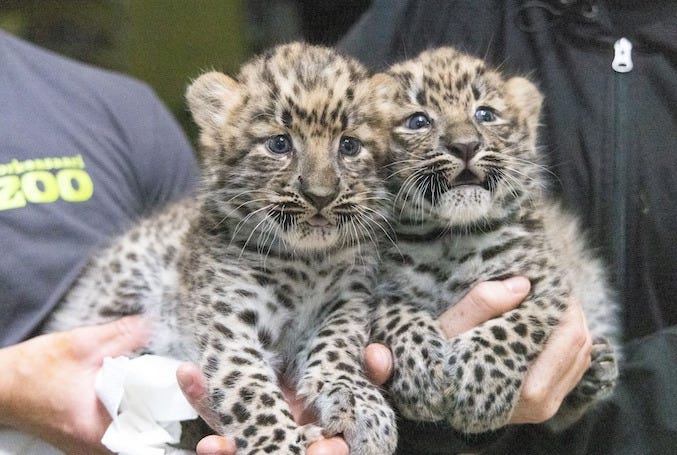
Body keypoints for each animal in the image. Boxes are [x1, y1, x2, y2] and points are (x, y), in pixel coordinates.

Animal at [42, 42, 398, 455]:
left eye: (349, 145)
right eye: (279, 144)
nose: (320, 195)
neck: (305, 260)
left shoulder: (345, 301)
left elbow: (339, 348)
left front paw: (364, 406)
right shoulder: (229, 322)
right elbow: (251, 390)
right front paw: (280, 445)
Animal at [370, 47, 620, 434]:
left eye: (485, 114)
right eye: (417, 121)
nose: (465, 145)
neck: (449, 239)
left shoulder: (546, 282)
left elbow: (514, 326)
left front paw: (480, 386)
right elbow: (395, 313)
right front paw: (421, 371)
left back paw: (597, 370)